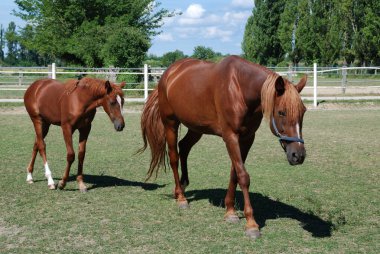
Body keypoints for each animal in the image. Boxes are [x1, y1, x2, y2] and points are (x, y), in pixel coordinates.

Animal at [139, 55, 306, 238]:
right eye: (282, 112)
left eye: (303, 111)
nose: (298, 155)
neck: (240, 87)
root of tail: (167, 74)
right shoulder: (230, 136)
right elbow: (243, 176)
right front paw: (251, 224)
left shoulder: (247, 138)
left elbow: (235, 174)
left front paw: (230, 211)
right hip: (171, 124)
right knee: (174, 157)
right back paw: (181, 198)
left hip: (196, 128)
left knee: (184, 147)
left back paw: (182, 187)